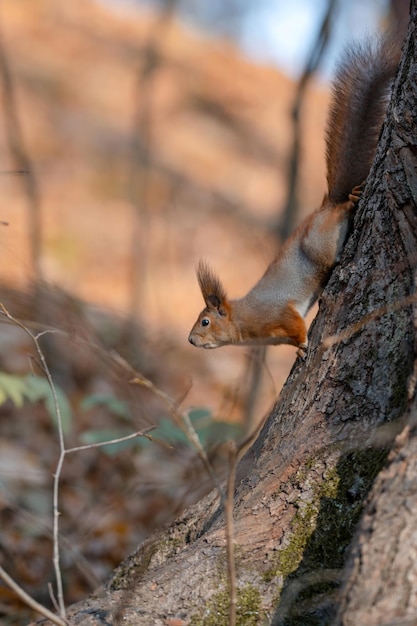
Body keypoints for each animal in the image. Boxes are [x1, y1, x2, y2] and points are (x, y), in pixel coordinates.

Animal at [188, 35, 400, 356]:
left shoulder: (281, 312)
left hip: (319, 243)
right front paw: (299, 350)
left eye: (205, 322)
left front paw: (304, 345)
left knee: (340, 218)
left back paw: (348, 207)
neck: (244, 320)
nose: (189, 340)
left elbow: (296, 325)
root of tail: (327, 205)